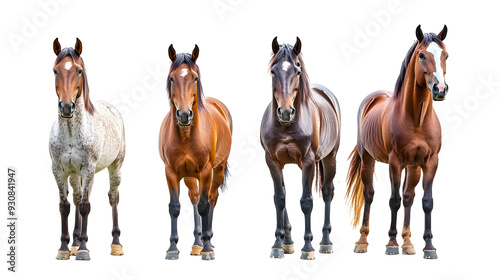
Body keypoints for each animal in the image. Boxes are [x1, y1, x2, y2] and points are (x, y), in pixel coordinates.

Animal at [49, 38, 126, 262]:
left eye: (79, 70)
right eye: (55, 70)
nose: (67, 107)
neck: (71, 133)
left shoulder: (88, 169)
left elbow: (85, 206)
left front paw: (83, 249)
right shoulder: (59, 170)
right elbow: (65, 206)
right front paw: (64, 248)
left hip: (115, 167)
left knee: (113, 197)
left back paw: (116, 244)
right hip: (76, 174)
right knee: (76, 196)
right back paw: (74, 244)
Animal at [158, 43, 232, 260]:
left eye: (195, 78)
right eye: (171, 78)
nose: (184, 115)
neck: (186, 136)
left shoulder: (206, 171)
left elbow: (205, 206)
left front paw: (207, 249)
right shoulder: (171, 172)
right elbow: (175, 207)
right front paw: (172, 248)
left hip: (217, 170)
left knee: (211, 198)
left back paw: (208, 241)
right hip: (190, 175)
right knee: (195, 197)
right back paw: (197, 244)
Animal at [260, 37, 342, 260]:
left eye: (297, 71)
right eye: (273, 71)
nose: (285, 111)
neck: (286, 126)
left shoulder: (307, 162)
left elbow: (306, 202)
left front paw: (308, 247)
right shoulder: (272, 161)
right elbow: (280, 199)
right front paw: (279, 245)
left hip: (330, 158)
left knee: (327, 192)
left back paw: (325, 242)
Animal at [348, 25, 450, 260]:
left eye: (446, 55)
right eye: (421, 55)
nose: (440, 89)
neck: (417, 119)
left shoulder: (429, 163)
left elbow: (425, 202)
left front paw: (428, 246)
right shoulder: (395, 163)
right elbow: (393, 200)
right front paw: (392, 244)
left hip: (413, 168)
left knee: (408, 197)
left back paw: (408, 243)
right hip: (368, 160)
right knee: (369, 195)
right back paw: (362, 241)